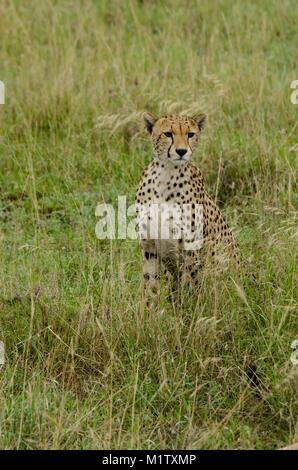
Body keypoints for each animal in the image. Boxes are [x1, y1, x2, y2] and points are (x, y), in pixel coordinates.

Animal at [135, 112, 240, 300]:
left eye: (190, 134)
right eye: (168, 134)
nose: (182, 151)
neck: (166, 174)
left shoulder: (190, 249)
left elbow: (190, 287)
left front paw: (188, 307)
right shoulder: (150, 248)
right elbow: (151, 286)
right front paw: (149, 308)